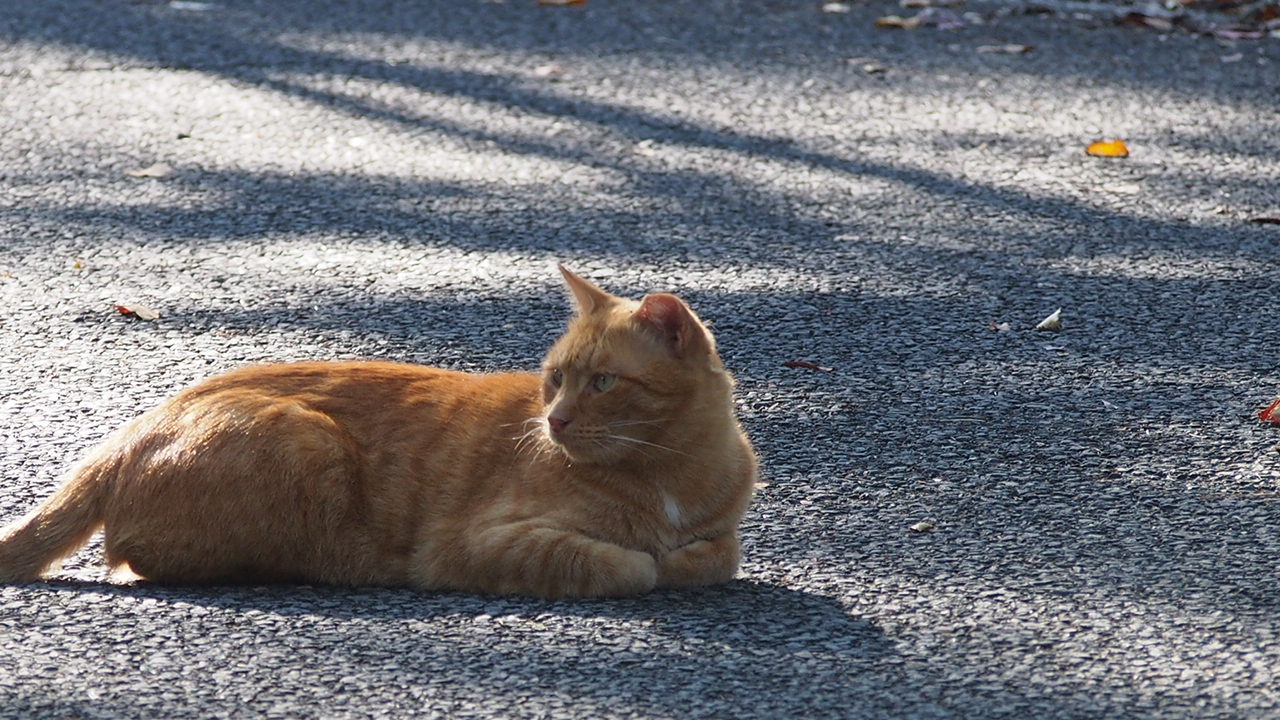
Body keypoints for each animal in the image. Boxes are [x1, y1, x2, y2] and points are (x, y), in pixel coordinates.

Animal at [0, 266, 752, 597]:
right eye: (555, 378)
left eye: (601, 384)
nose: (554, 420)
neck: (672, 473)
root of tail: (126, 433)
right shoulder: (469, 544)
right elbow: (625, 565)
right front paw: (650, 562)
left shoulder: (722, 534)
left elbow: (715, 554)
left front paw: (683, 556)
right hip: (306, 441)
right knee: (138, 557)